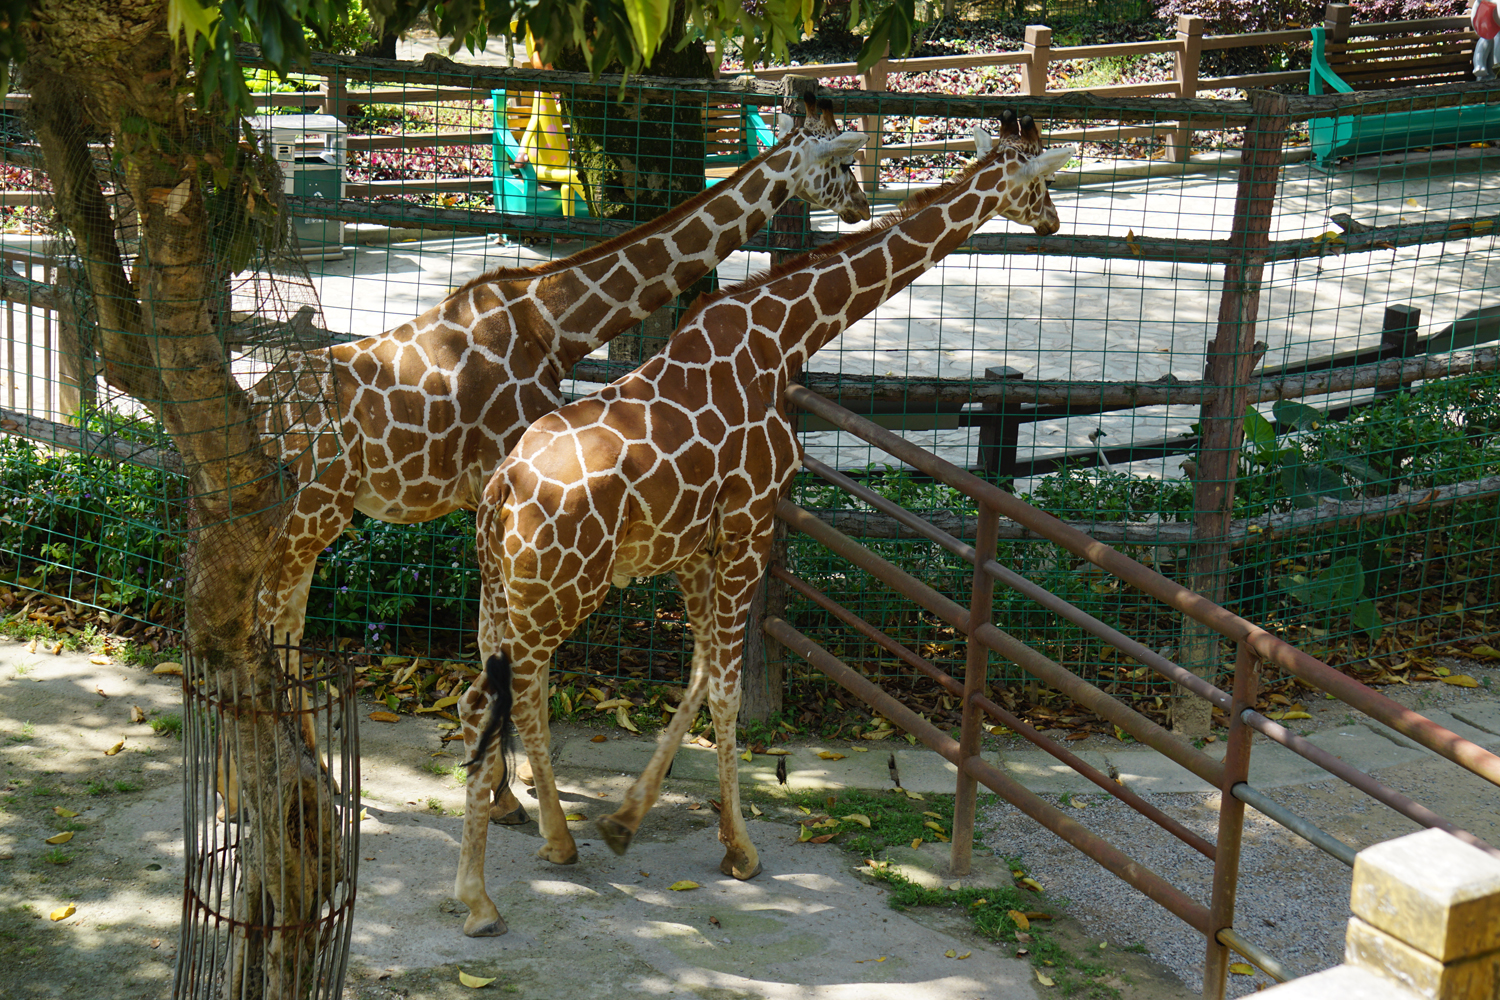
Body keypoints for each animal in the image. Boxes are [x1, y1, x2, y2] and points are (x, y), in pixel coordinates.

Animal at [242, 96, 871, 815]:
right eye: (839, 161)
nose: (860, 205)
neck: (555, 323)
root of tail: (258, 407)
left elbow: (492, 637)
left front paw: (501, 788)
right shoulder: (506, 479)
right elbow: (503, 642)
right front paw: (507, 794)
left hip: (302, 511)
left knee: (274, 610)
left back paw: (302, 775)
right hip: (314, 508)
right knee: (270, 610)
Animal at [454, 111, 1074, 937]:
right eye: (1036, 178)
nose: (1053, 220)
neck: (785, 337)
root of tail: (500, 492)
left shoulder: (695, 545)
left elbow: (697, 676)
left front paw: (625, 821)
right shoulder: (754, 521)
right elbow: (723, 689)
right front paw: (741, 851)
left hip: (504, 589)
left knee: (509, 694)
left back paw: (556, 842)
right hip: (558, 591)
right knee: (497, 699)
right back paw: (478, 898)